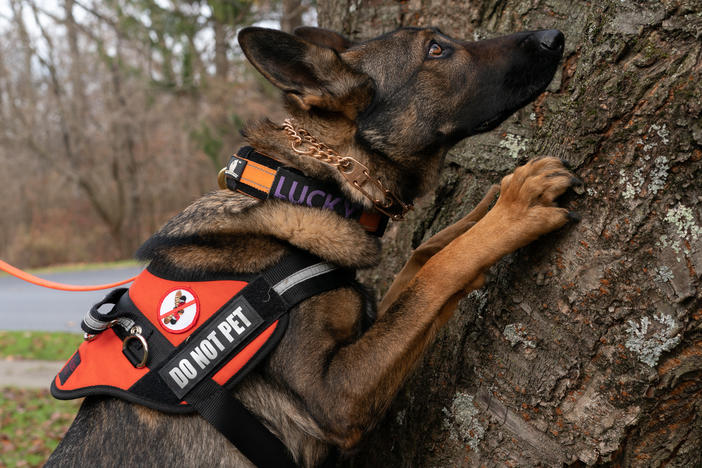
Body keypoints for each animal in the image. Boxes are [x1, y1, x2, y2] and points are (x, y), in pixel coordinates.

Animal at [49, 24, 576, 468]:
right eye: (436, 49)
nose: (553, 36)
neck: (304, 185)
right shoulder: (335, 397)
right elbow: (436, 273)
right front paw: (513, 211)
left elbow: (424, 256)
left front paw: (491, 202)